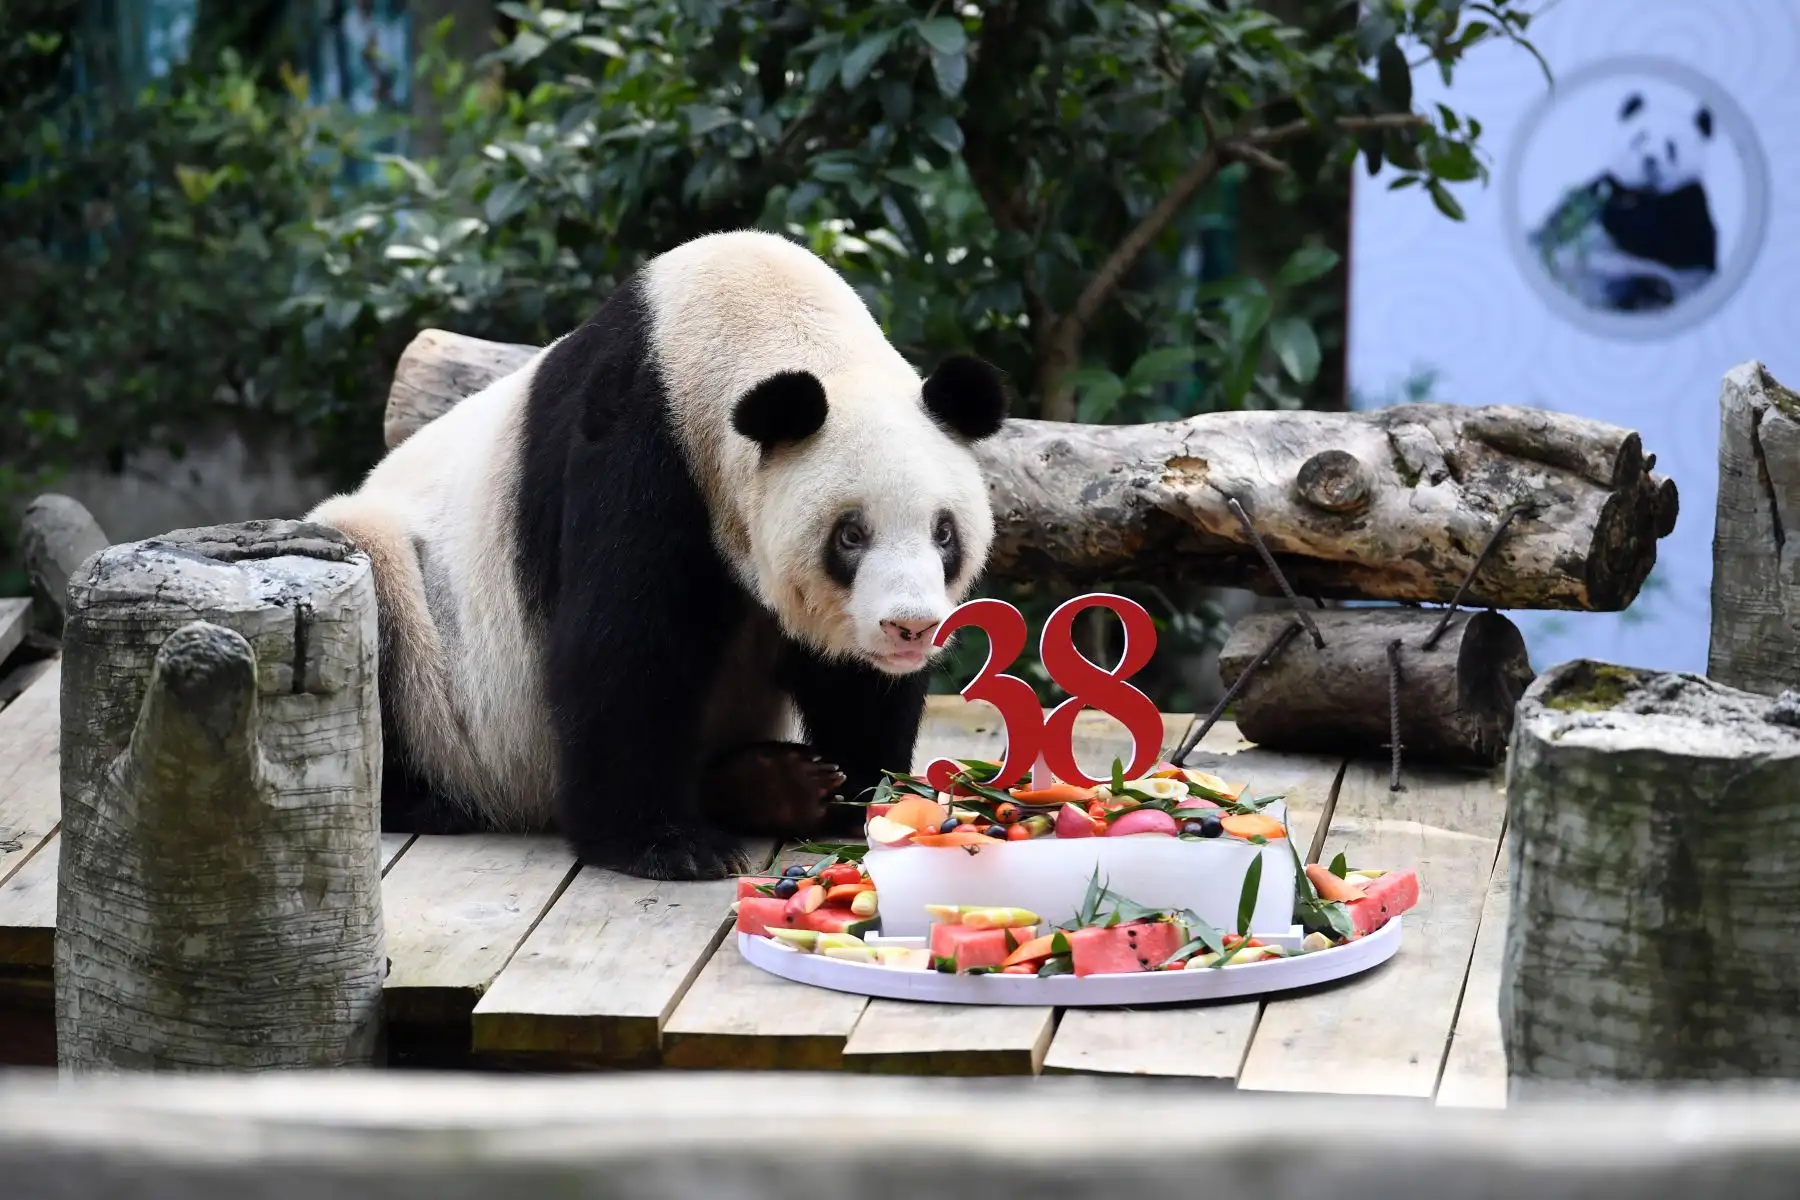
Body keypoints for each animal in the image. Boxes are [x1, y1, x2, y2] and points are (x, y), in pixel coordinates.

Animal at [307, 230, 1008, 881]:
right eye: (850, 535)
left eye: (944, 533)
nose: (910, 626)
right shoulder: (641, 448)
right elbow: (624, 643)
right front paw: (668, 846)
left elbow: (854, 680)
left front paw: (866, 796)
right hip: (433, 649)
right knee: (376, 588)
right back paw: (427, 800)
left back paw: (772, 785)